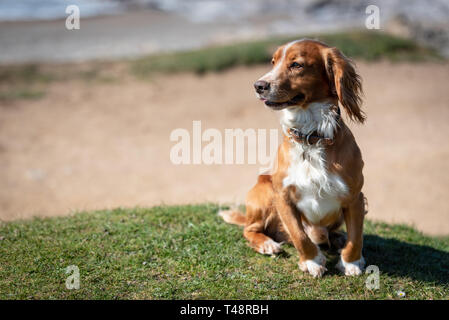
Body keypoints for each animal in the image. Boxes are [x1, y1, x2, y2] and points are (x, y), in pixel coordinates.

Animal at [219, 39, 366, 278]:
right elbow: (299, 235)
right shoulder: (283, 196)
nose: (258, 85)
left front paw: (351, 262)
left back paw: (337, 238)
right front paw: (312, 261)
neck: (311, 136)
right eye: (273, 62)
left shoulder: (355, 197)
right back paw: (267, 244)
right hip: (264, 190)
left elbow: (356, 236)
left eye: (296, 65)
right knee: (250, 229)